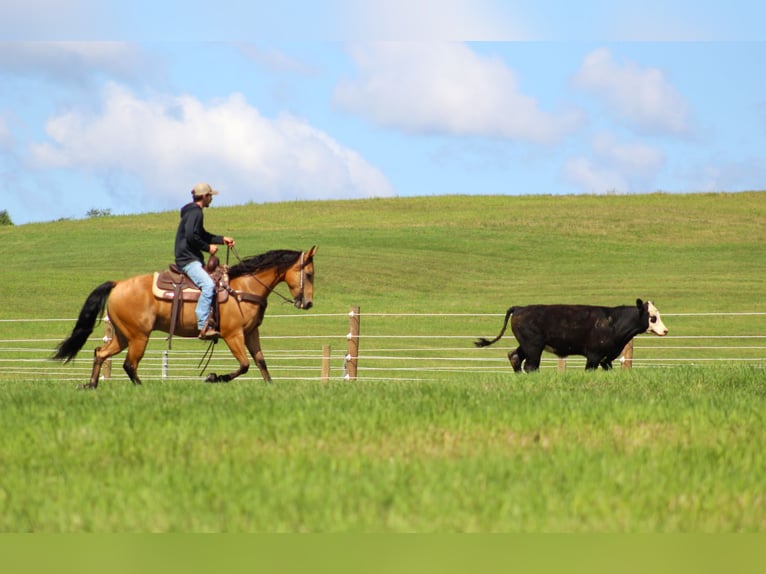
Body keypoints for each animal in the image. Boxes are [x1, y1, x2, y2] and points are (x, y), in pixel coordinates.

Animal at [54, 248, 316, 392]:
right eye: (310, 274)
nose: (308, 303)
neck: (244, 287)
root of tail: (118, 284)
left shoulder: (251, 333)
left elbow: (261, 362)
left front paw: (271, 387)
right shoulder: (233, 335)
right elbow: (244, 365)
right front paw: (213, 377)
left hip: (123, 335)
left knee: (100, 352)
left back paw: (90, 385)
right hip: (139, 337)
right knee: (129, 364)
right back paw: (142, 388)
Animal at [476, 302, 668, 374]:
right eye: (653, 317)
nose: (665, 330)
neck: (612, 321)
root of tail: (520, 308)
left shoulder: (606, 359)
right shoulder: (594, 356)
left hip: (526, 345)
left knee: (514, 356)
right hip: (533, 347)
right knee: (531, 366)